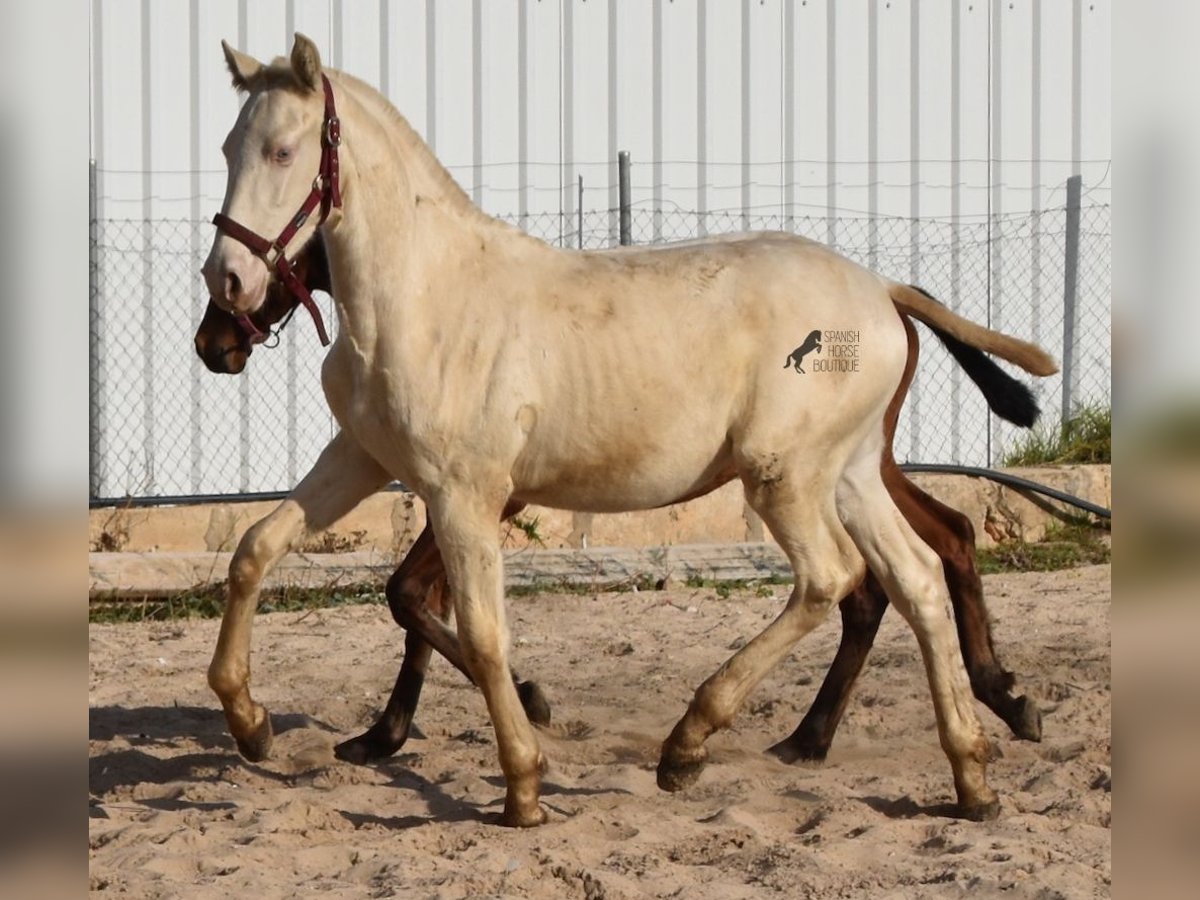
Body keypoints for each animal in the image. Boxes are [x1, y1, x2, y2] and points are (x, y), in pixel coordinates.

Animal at [201, 37, 1056, 830]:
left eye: (284, 151)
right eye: (227, 147)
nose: (226, 291)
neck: (424, 298)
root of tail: (882, 291)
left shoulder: (465, 492)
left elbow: (478, 631)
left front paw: (523, 786)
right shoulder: (362, 457)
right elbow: (255, 550)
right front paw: (250, 723)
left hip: (784, 475)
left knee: (834, 578)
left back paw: (691, 743)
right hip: (848, 473)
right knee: (917, 579)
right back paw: (971, 775)